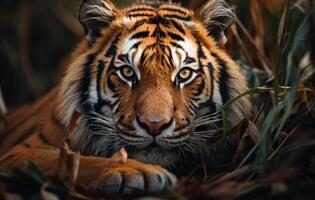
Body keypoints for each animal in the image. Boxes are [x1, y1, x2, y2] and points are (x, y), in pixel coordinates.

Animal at [0, 0, 252, 194]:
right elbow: (72, 159)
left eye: (184, 74)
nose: (154, 125)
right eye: (128, 72)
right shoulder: (19, 152)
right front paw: (135, 170)